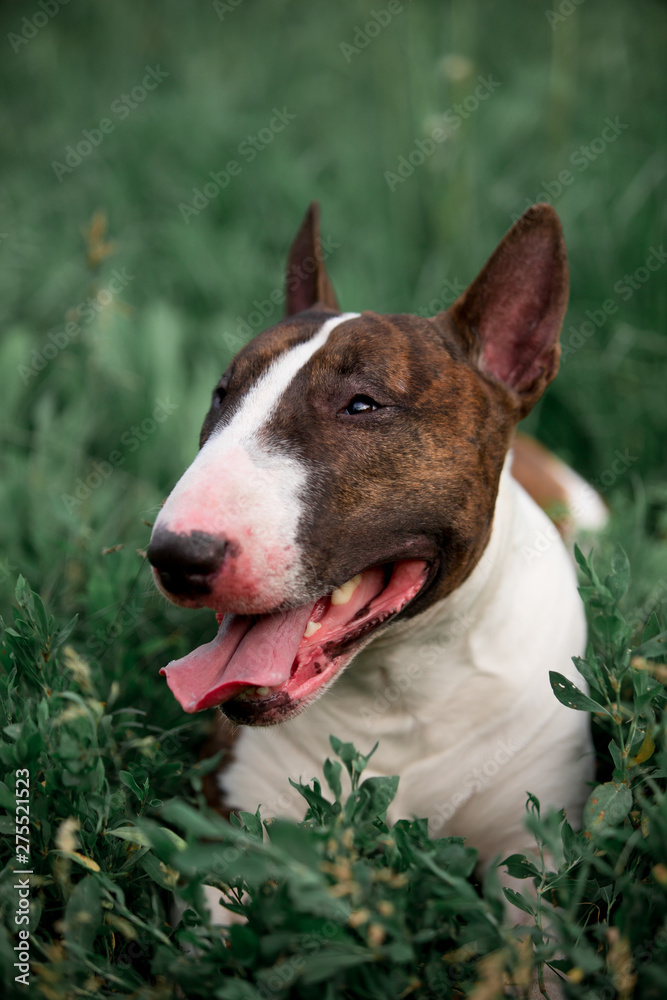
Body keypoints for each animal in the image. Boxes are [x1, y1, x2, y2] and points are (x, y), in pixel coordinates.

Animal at [147, 202, 602, 876]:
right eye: (221, 395)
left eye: (362, 405)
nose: (176, 556)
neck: (398, 693)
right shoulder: (234, 828)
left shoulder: (537, 844)